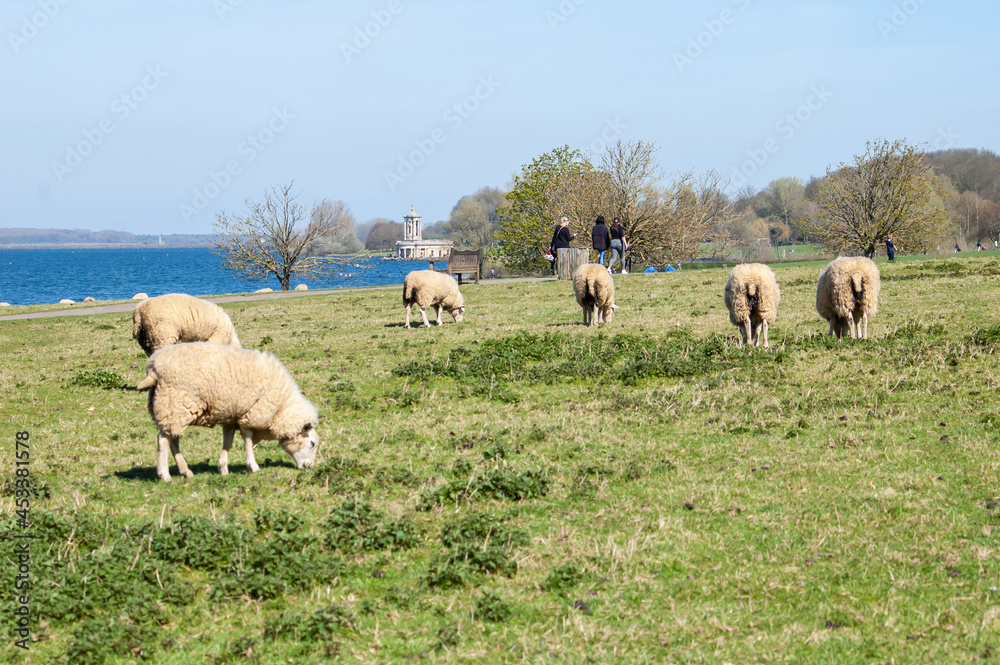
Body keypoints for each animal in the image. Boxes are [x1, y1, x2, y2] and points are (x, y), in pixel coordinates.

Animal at [136, 342, 319, 482]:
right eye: (312, 444)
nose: (310, 467)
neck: (281, 409)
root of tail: (153, 367)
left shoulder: (232, 416)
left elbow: (228, 442)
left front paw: (223, 468)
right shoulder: (249, 413)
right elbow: (247, 439)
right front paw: (252, 465)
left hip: (174, 410)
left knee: (172, 440)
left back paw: (185, 471)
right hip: (175, 404)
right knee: (163, 440)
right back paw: (164, 474)